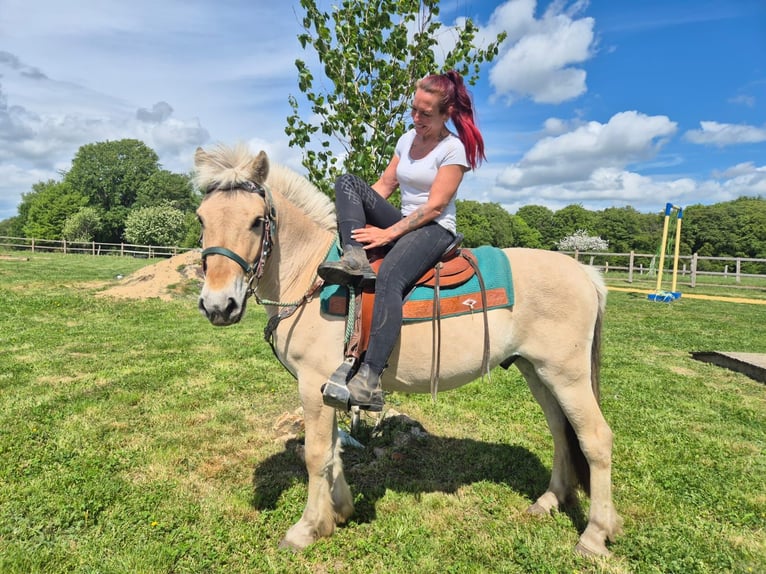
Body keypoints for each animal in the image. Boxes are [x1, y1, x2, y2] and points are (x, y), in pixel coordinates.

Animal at [194, 143, 622, 557]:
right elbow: (333, 450)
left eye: (256, 221)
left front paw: (307, 528)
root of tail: (585, 272)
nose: (218, 306)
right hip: (536, 371)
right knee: (560, 431)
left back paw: (594, 536)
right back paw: (549, 501)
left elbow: (317, 455)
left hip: (567, 375)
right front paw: (340, 510)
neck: (310, 276)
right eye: (201, 219)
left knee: (595, 439)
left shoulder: (313, 385)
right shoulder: (329, 390)